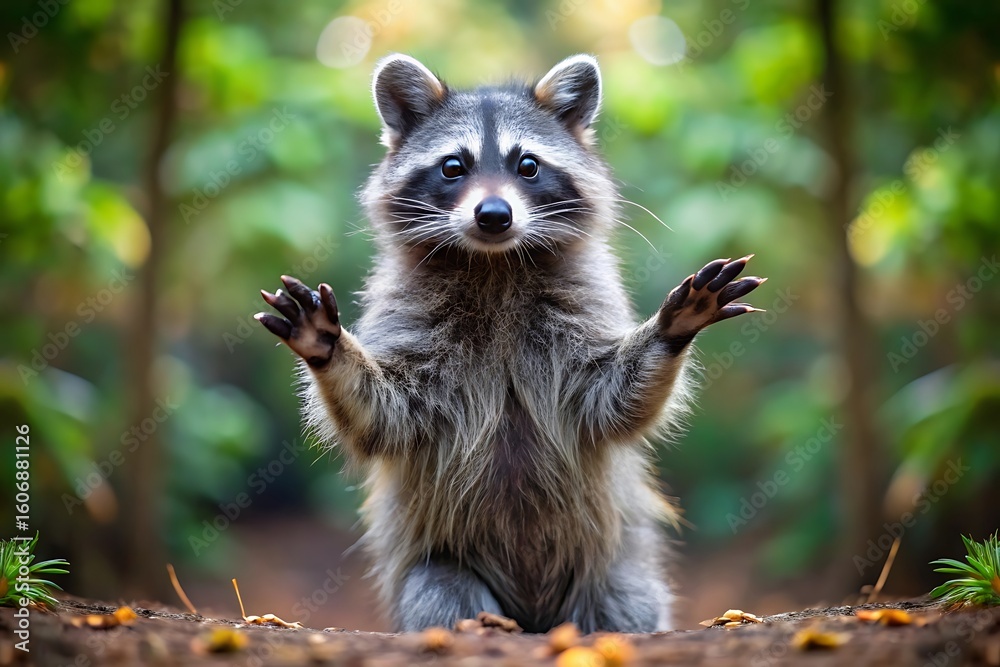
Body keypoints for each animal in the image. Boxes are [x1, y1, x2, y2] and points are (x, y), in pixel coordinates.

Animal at [257, 54, 764, 633]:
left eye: (528, 166)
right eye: (453, 167)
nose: (494, 215)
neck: (495, 263)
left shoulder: (581, 303)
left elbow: (611, 398)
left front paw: (670, 328)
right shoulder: (407, 312)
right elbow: (388, 414)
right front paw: (330, 348)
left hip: (610, 568)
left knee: (626, 600)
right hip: (443, 564)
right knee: (439, 594)